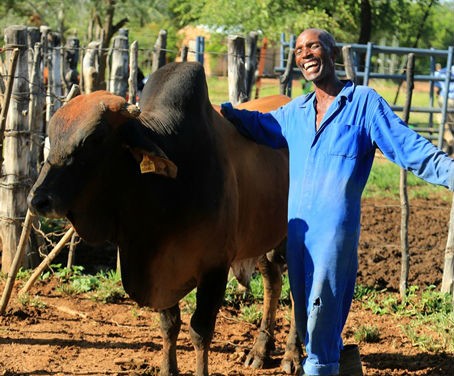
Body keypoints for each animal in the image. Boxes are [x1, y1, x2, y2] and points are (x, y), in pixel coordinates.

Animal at [27, 62, 298, 376]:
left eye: (94, 139)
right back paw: (260, 350)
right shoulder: (162, 268)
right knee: (272, 281)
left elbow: (199, 331)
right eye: (52, 135)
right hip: (264, 238)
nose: (38, 199)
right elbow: (169, 325)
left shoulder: (215, 267)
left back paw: (291, 355)